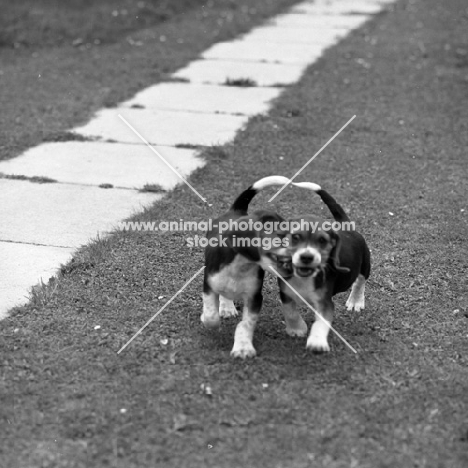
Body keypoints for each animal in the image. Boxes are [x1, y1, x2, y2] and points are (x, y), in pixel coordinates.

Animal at [202, 176, 290, 358]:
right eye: (280, 237)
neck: (241, 266)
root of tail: (237, 210)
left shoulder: (254, 297)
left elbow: (245, 324)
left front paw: (243, 348)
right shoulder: (208, 284)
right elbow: (210, 314)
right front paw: (209, 322)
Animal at [276, 183, 372, 352]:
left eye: (322, 240)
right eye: (295, 237)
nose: (306, 257)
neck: (305, 278)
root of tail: (346, 226)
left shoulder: (325, 303)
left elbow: (321, 323)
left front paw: (317, 341)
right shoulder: (285, 292)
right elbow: (289, 310)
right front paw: (297, 329)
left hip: (365, 264)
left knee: (360, 282)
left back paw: (355, 301)